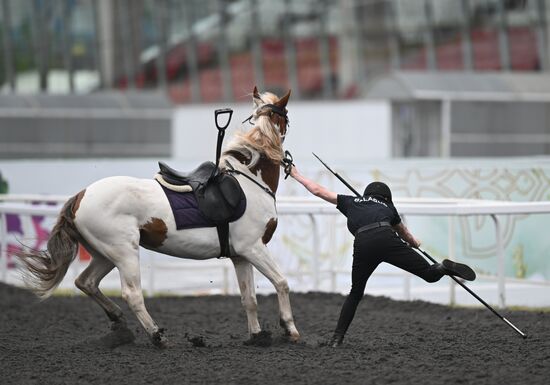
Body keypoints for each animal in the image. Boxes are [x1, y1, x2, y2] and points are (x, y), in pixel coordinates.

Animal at [17, 87, 300, 348]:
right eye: (286, 117)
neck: (248, 181)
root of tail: (80, 196)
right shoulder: (253, 248)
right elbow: (282, 282)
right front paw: (290, 330)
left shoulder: (240, 255)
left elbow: (249, 299)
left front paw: (257, 336)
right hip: (125, 253)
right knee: (131, 294)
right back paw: (156, 335)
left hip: (104, 254)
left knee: (85, 282)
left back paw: (119, 324)